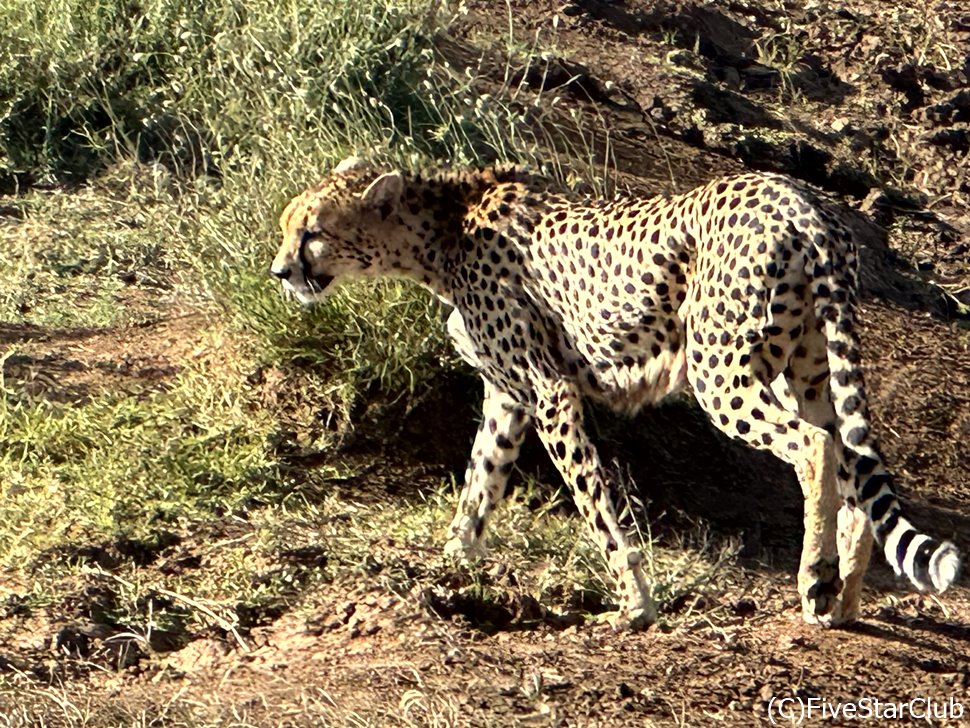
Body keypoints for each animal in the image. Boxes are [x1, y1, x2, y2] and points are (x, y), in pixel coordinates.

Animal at [268, 156, 956, 628]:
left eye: (313, 233)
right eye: (288, 229)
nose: (279, 272)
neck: (442, 232)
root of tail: (799, 199)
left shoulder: (549, 390)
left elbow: (593, 500)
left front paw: (635, 603)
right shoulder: (507, 397)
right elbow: (480, 483)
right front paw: (450, 565)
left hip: (719, 370)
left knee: (813, 447)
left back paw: (813, 576)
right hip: (809, 367)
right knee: (853, 459)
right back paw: (840, 601)